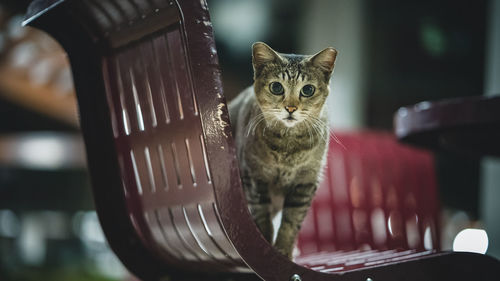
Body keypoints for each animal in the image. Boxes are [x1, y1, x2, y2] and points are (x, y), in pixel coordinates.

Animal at [229, 41, 338, 258]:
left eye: (308, 90)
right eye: (277, 87)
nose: (291, 108)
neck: (288, 147)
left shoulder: (305, 183)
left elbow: (291, 223)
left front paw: (284, 250)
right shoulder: (255, 179)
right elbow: (262, 219)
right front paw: (267, 248)